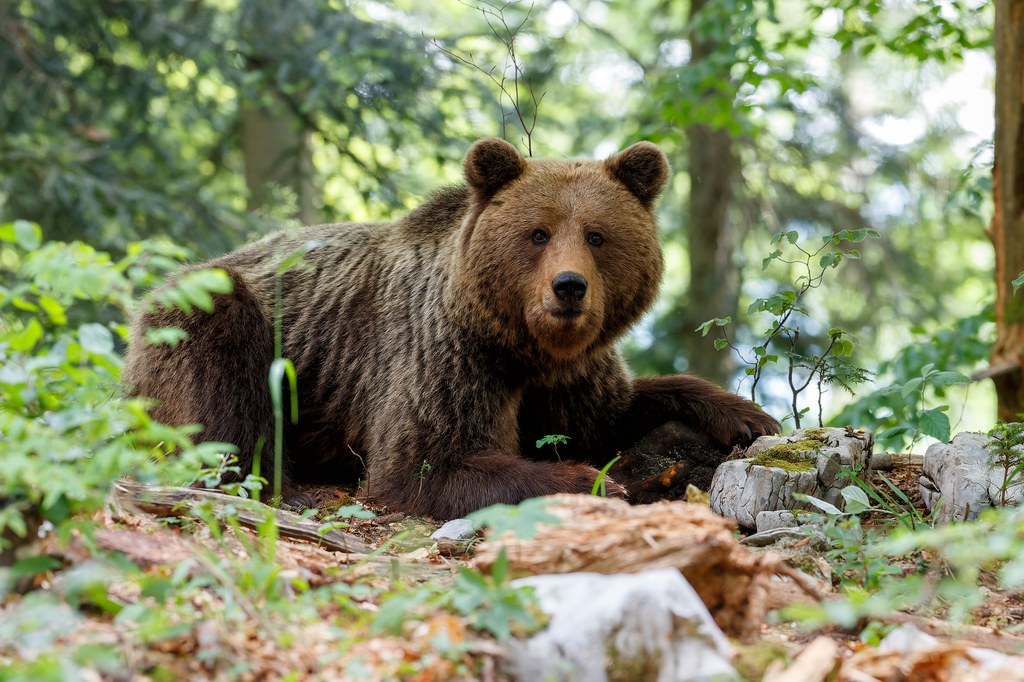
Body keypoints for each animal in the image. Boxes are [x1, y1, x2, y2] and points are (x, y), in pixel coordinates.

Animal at [121, 140, 774, 518]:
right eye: (537, 233)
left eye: (597, 234)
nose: (568, 287)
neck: (522, 347)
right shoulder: (445, 354)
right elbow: (425, 462)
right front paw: (588, 480)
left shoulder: (571, 376)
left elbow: (613, 411)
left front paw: (746, 416)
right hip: (207, 320)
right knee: (224, 396)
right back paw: (295, 487)